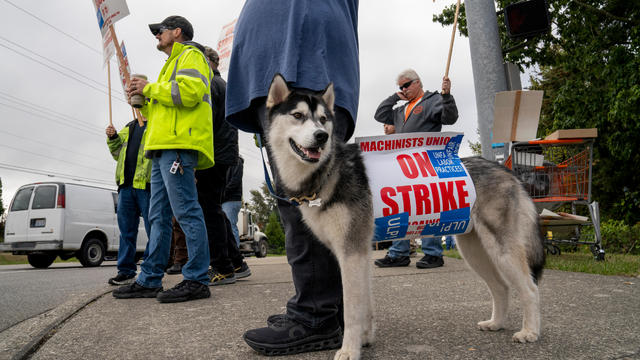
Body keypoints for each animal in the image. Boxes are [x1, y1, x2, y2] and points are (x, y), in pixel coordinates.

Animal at [262, 74, 544, 360]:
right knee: (501, 287)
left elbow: (352, 309)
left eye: (322, 119)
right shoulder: (359, 254)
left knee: (530, 289)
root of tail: (505, 170)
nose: (321, 136)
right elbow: (365, 305)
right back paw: (496, 323)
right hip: (474, 251)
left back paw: (530, 332)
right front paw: (365, 339)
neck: (328, 171)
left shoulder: (351, 253)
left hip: (502, 251)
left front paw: (349, 349)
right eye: (298, 115)